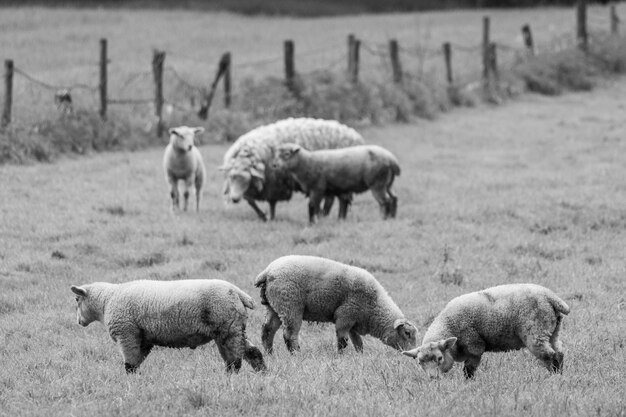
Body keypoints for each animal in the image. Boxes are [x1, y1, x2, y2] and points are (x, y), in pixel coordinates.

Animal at [70, 280, 266, 374]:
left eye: (77, 299)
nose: (78, 321)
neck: (108, 299)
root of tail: (239, 293)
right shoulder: (143, 339)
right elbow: (136, 361)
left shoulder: (127, 334)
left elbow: (130, 364)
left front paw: (130, 382)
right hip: (234, 328)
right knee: (252, 352)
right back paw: (262, 373)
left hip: (227, 329)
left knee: (234, 361)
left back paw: (231, 379)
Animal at [221, 117, 366, 221]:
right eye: (231, 178)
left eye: (245, 179)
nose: (234, 199)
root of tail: (356, 136)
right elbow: (252, 201)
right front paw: (264, 216)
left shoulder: (273, 184)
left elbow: (270, 203)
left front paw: (269, 217)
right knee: (333, 199)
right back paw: (325, 215)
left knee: (343, 199)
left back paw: (338, 217)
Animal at [251, 255, 416, 352]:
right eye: (407, 333)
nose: (413, 354)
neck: (374, 305)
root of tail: (268, 271)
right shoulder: (345, 315)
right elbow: (342, 340)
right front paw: (340, 356)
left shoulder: (353, 321)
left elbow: (358, 342)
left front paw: (360, 356)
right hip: (290, 306)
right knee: (289, 335)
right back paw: (296, 354)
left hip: (274, 306)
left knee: (267, 331)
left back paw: (269, 353)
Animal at [272, 143, 400, 223]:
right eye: (276, 155)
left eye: (287, 154)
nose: (274, 165)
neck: (307, 162)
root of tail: (392, 160)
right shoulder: (334, 189)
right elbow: (331, 207)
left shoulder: (317, 188)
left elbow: (312, 205)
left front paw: (312, 222)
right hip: (388, 183)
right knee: (394, 198)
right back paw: (392, 217)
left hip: (377, 183)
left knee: (385, 201)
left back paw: (384, 218)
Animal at [402, 284, 568, 378]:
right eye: (420, 362)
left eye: (439, 358)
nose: (433, 378)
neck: (449, 324)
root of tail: (550, 297)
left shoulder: (474, 346)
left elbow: (468, 371)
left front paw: (468, 384)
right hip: (552, 330)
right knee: (559, 351)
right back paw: (560, 375)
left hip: (536, 332)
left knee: (550, 355)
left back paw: (553, 377)